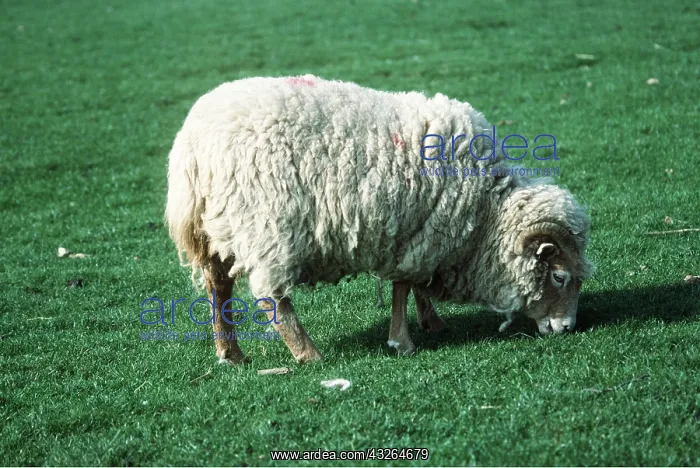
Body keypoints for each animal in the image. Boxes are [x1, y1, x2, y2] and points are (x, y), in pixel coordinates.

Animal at [165, 74, 593, 364]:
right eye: (559, 277)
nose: (568, 328)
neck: (486, 215)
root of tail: (193, 144)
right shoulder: (417, 233)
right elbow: (402, 286)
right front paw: (403, 340)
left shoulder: (420, 233)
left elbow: (413, 286)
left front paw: (431, 322)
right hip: (267, 225)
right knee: (272, 295)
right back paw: (308, 354)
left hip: (214, 228)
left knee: (218, 286)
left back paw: (230, 353)